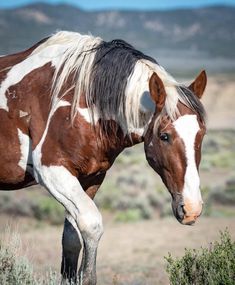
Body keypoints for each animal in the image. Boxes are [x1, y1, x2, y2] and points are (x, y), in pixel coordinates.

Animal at [0, 31, 206, 284]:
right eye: (164, 136)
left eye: (201, 134)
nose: (192, 208)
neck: (83, 97)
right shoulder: (51, 171)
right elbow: (91, 225)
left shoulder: (91, 177)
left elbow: (71, 238)